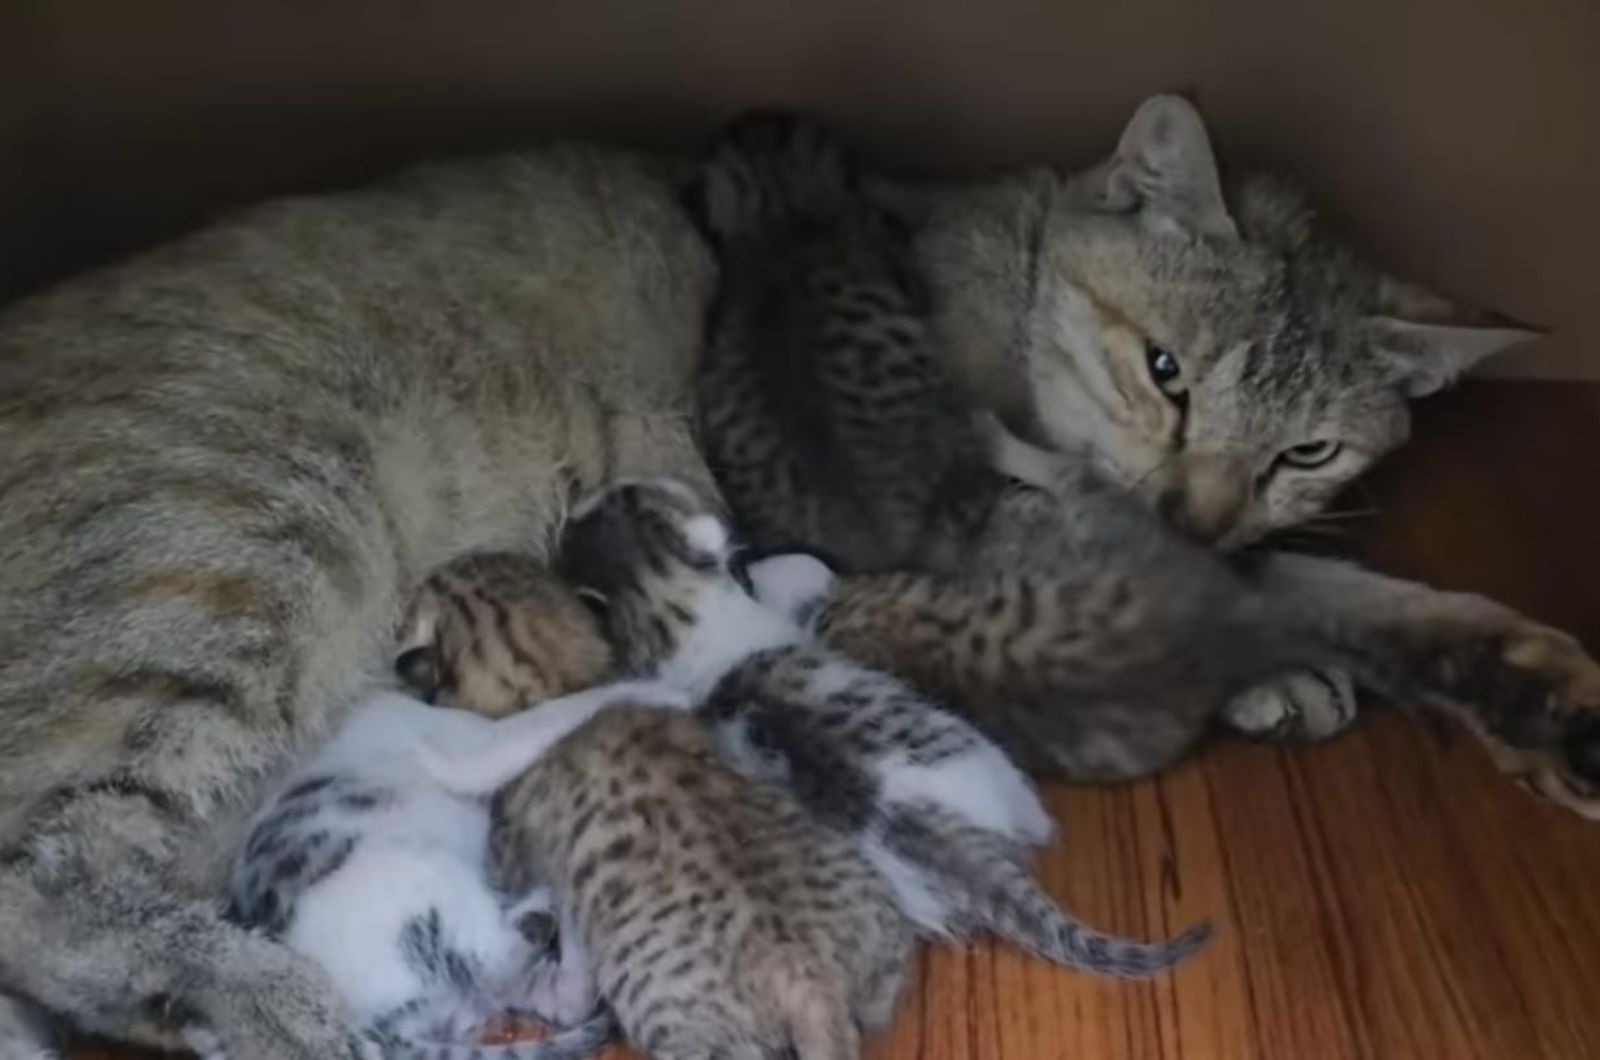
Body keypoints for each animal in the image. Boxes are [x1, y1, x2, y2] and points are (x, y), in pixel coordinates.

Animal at [227, 682, 681, 1060]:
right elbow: (560, 709)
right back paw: (551, 904)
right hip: (422, 876)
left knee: (557, 998)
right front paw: (661, 685)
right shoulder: (474, 747)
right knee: (496, 958)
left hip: (470, 991)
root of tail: (375, 1025)